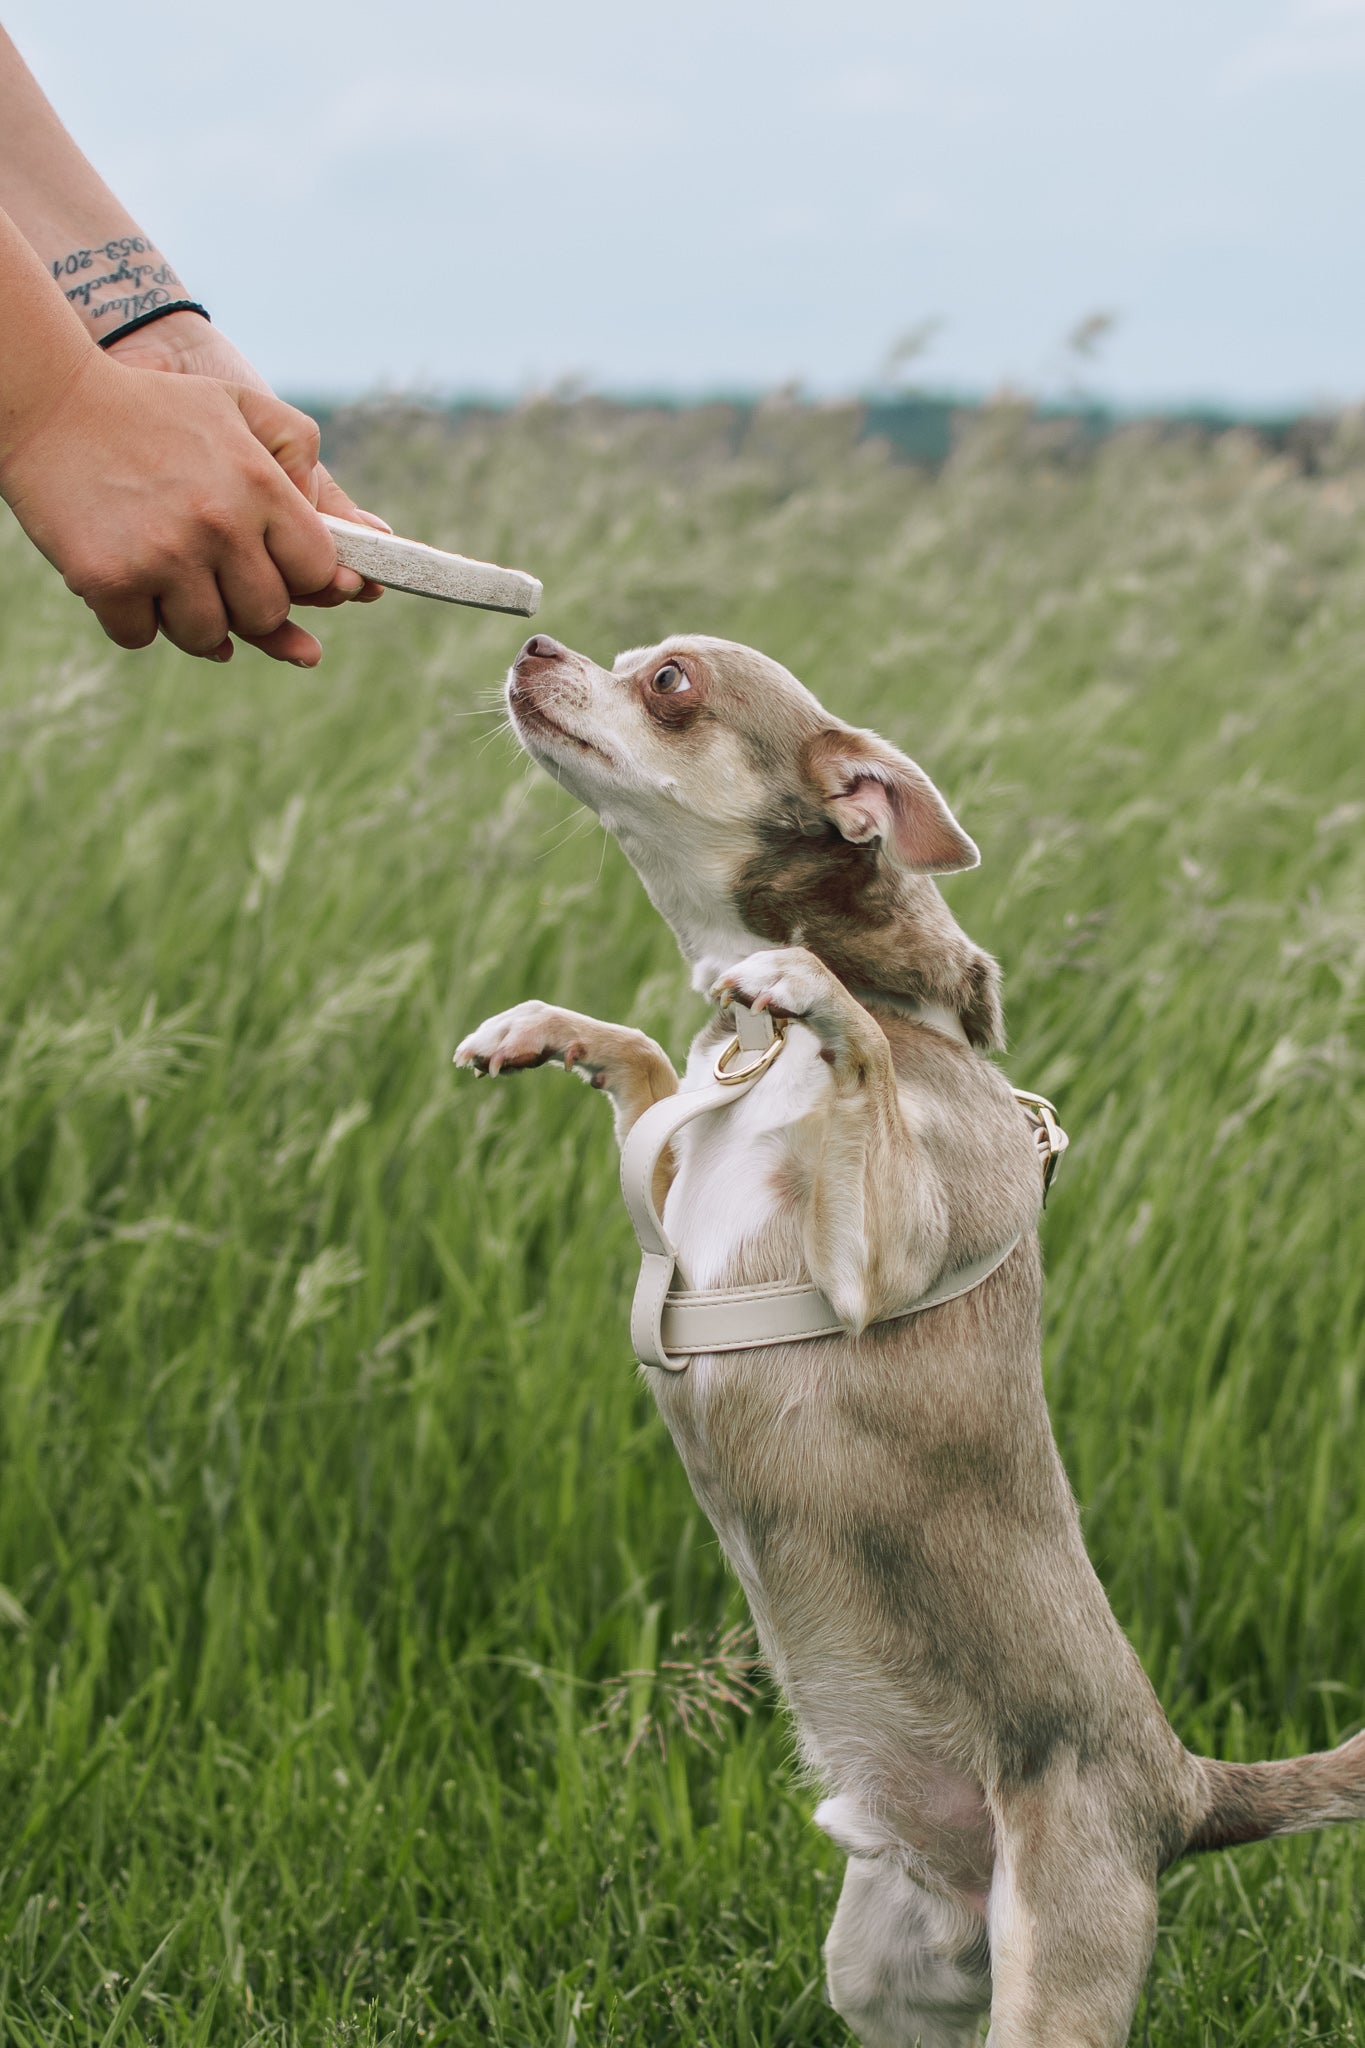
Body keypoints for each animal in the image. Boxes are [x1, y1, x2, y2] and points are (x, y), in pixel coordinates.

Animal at [454, 630, 1358, 2039]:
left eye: (670, 682)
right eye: (631, 657)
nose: (538, 641)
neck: (758, 1059)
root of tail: (1186, 1784)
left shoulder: (868, 1262)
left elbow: (861, 1055)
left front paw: (811, 989)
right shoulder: (670, 1174)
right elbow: (648, 1061)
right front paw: (544, 1028)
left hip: (1057, 1963)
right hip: (882, 1973)